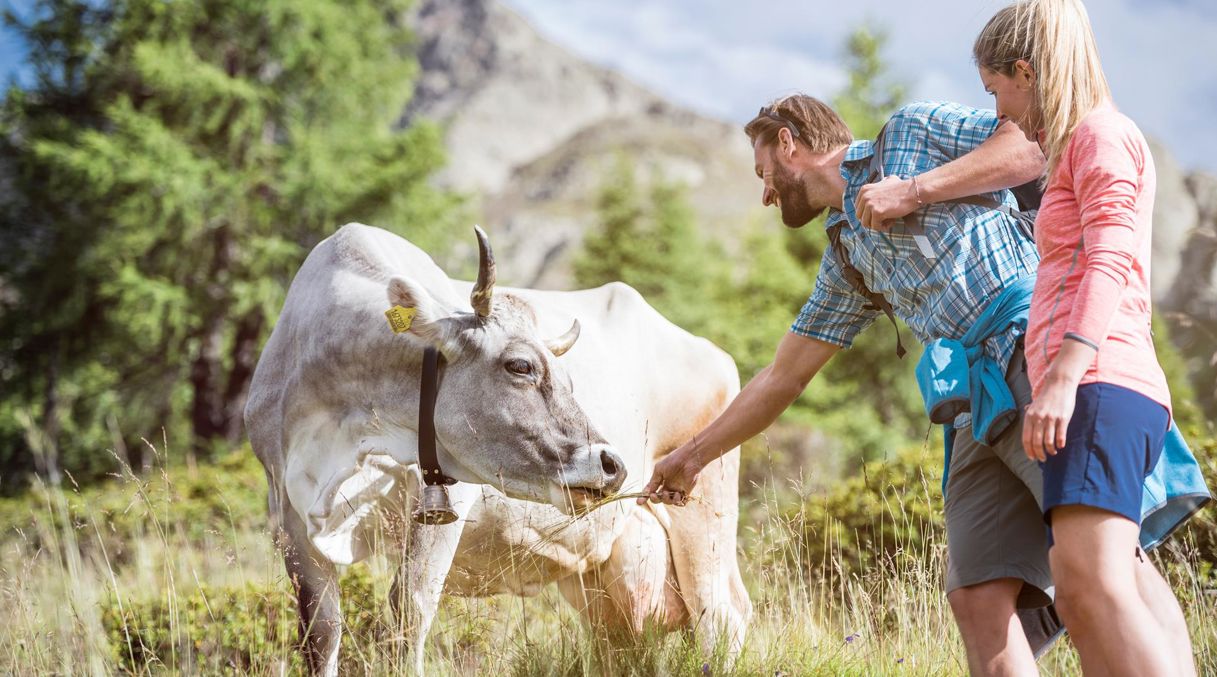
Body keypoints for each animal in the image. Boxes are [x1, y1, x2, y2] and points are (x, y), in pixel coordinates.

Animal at [245, 225, 749, 672]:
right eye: (520, 366)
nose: (612, 465)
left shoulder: (442, 498)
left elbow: (409, 610)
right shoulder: (286, 511)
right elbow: (321, 629)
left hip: (703, 512)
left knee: (722, 615)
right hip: (598, 571)